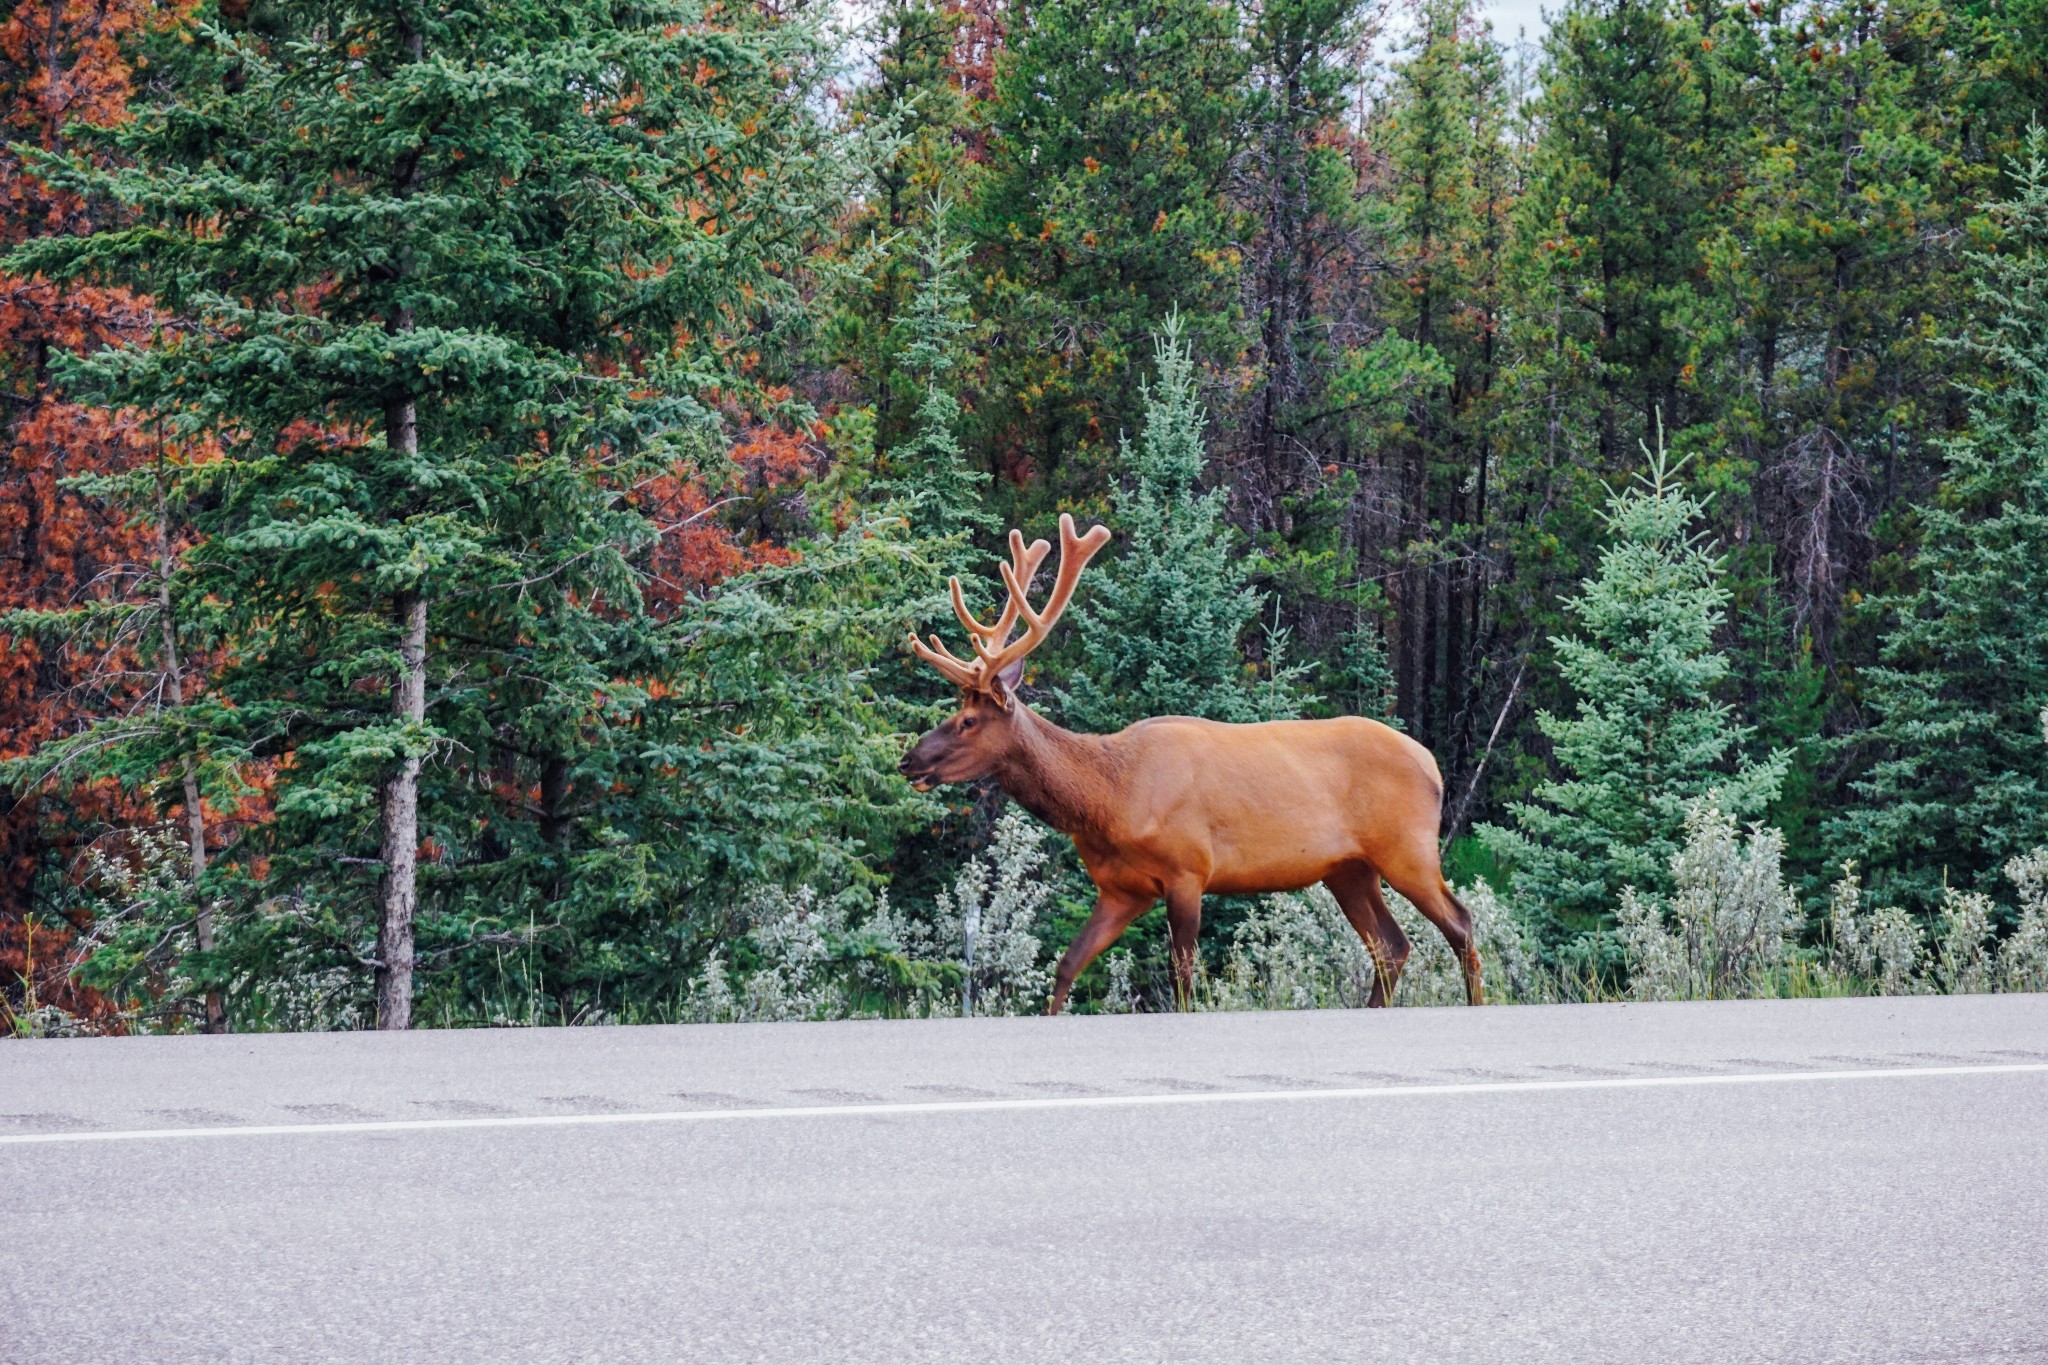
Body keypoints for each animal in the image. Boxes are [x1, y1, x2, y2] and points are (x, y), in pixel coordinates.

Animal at [905, 511, 1482, 1015]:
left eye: (967, 721)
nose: (909, 761)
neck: (1108, 800)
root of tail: (1432, 765)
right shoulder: (1121, 889)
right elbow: (1068, 964)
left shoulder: (1188, 870)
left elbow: (1182, 975)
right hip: (1349, 869)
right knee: (1391, 944)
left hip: (1408, 849)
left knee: (1460, 922)